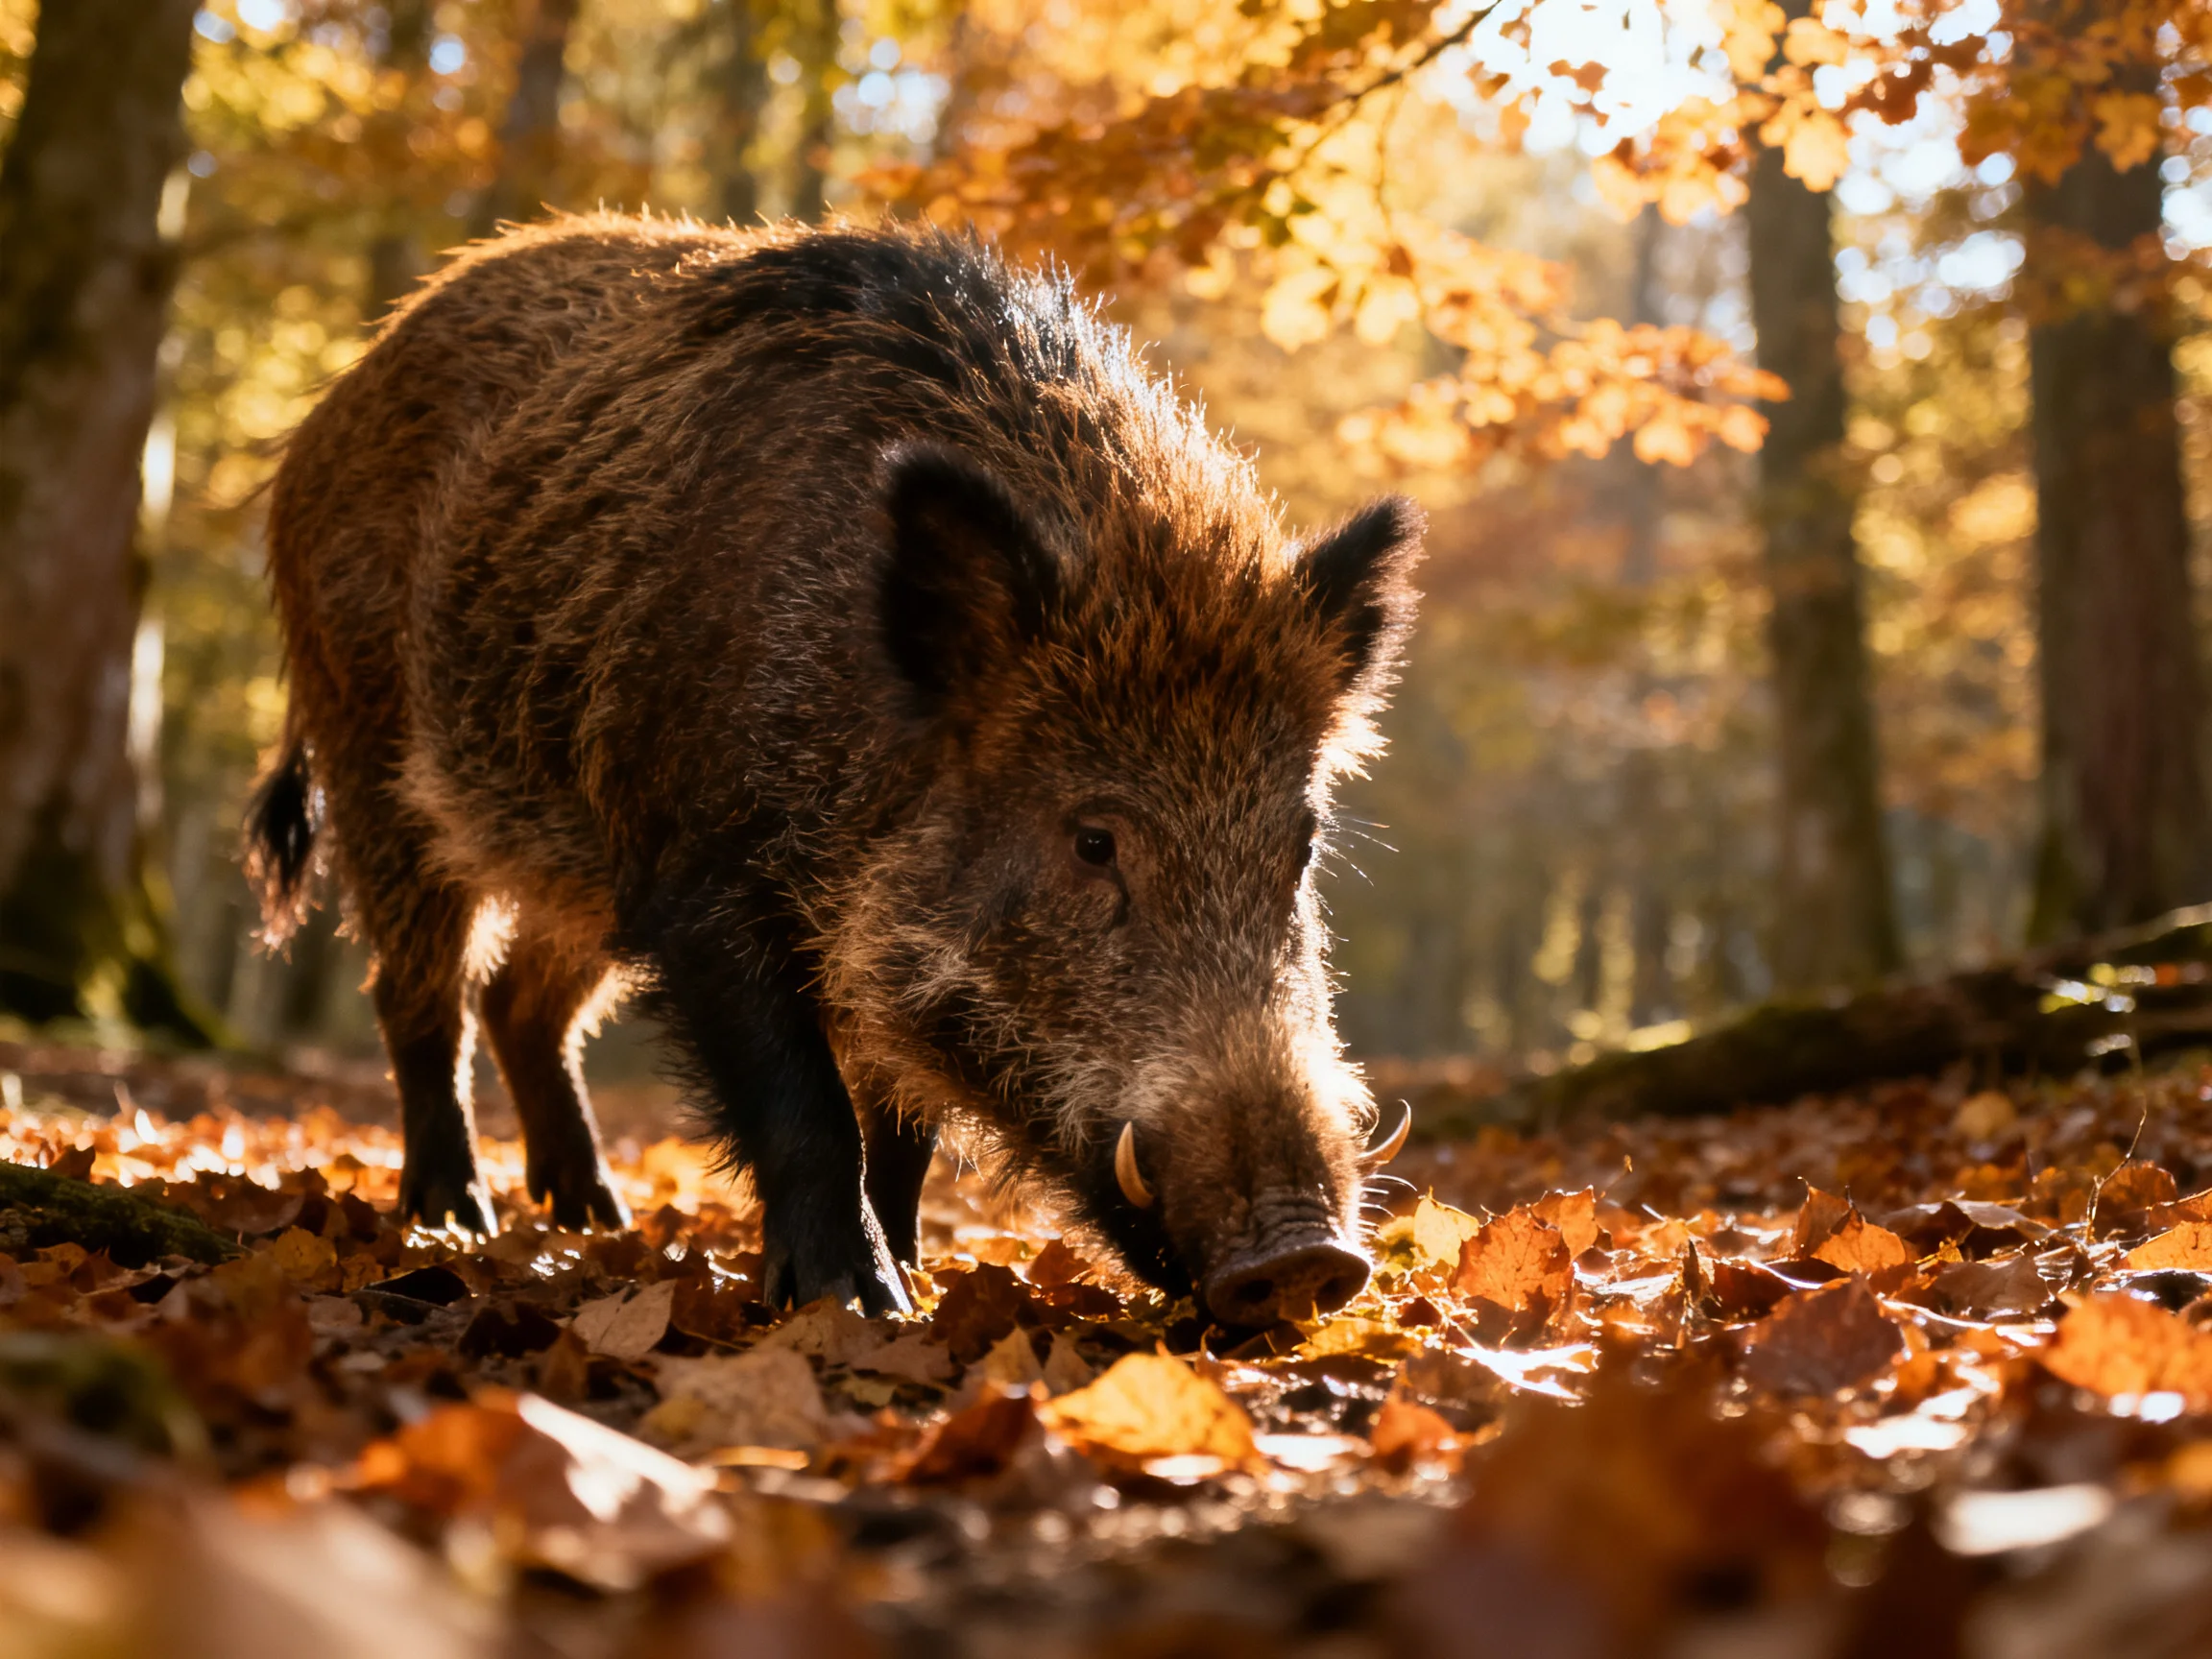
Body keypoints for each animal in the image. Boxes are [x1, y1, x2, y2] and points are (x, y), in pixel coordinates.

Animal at [245, 214, 1421, 1323]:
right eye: (1093, 839)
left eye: (1301, 844)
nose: (1307, 1256)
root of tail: (325, 412)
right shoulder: (698, 877)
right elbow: (810, 1109)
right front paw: (852, 1300)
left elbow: (901, 1124)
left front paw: (909, 1273)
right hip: (371, 753)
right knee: (421, 993)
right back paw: (452, 1220)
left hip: (573, 862)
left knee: (521, 1002)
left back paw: (592, 1216)